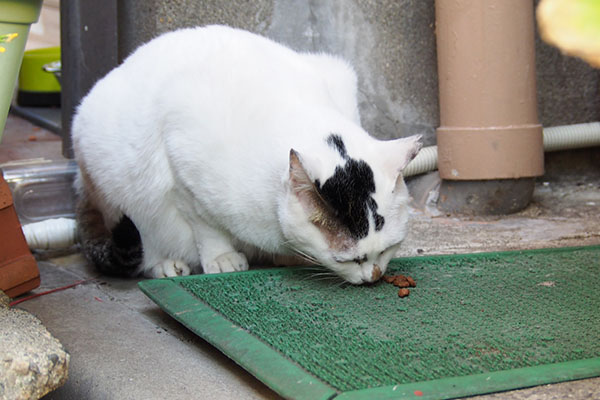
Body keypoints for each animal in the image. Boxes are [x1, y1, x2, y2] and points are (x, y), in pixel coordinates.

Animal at [71, 24, 422, 284]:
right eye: (352, 259)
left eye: (389, 249)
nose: (373, 276)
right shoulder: (182, 165)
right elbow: (204, 223)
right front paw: (221, 256)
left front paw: (286, 256)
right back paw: (166, 264)